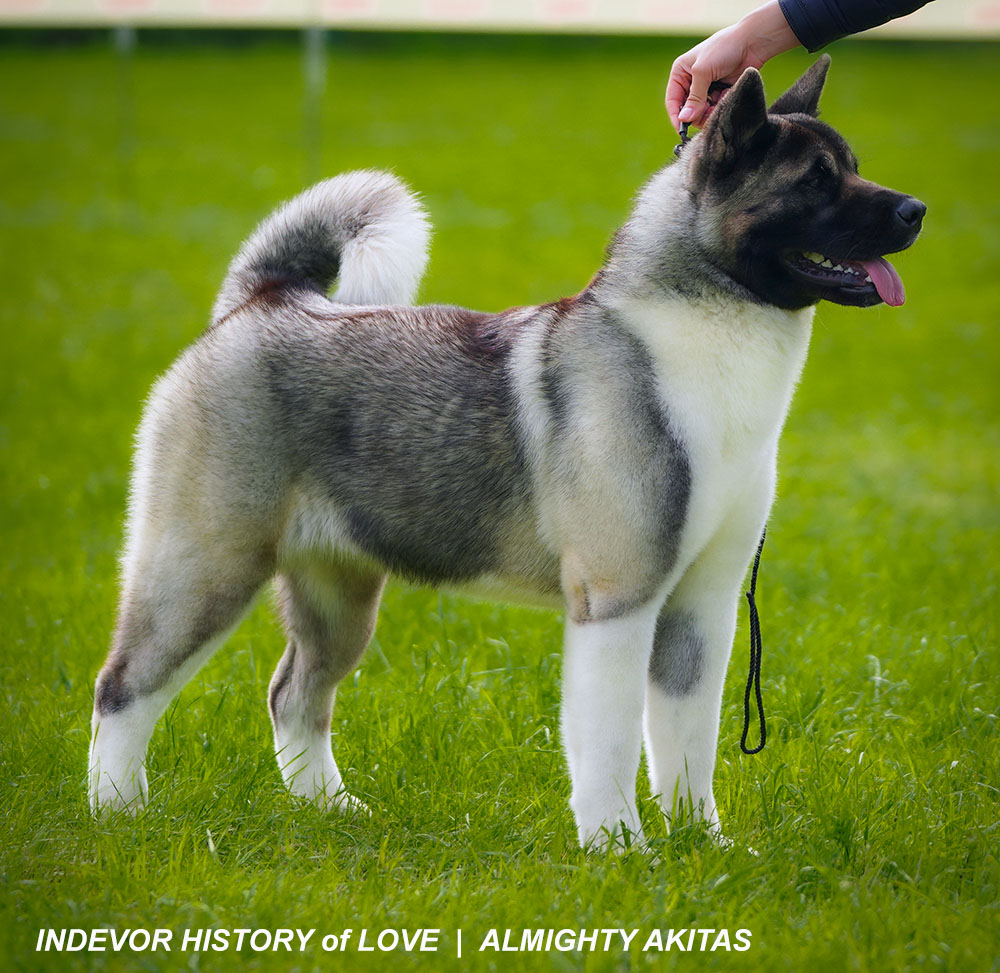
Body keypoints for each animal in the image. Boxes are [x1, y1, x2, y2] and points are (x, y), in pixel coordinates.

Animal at [90, 58, 924, 844]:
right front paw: (619, 848)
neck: (709, 328)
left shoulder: (701, 607)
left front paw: (702, 843)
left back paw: (329, 806)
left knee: (295, 693)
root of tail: (265, 300)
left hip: (337, 592)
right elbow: (611, 743)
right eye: (814, 182)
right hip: (203, 564)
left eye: (852, 165)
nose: (915, 209)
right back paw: (117, 811)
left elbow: (687, 743)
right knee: (123, 687)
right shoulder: (616, 601)